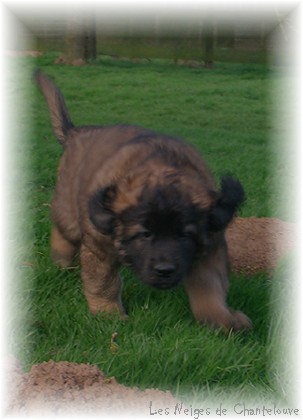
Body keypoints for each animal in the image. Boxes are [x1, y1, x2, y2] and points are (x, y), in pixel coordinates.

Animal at [34, 71, 252, 332]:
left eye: (184, 235)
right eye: (144, 235)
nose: (165, 271)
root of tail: (75, 133)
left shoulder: (209, 246)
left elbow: (209, 288)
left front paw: (223, 320)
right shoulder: (100, 246)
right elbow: (103, 283)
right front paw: (109, 315)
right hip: (68, 206)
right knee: (63, 232)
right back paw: (61, 262)